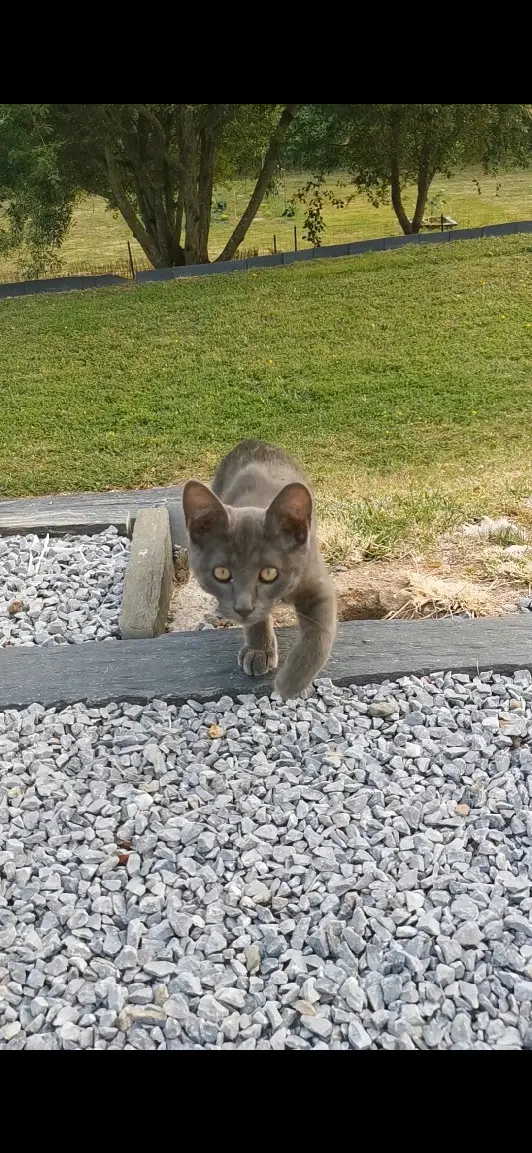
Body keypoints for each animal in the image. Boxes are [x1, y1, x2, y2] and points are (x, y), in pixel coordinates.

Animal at [180, 438, 334, 691]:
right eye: (221, 573)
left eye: (269, 572)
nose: (242, 608)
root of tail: (252, 440)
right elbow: (256, 620)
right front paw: (258, 651)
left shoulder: (315, 579)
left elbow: (320, 635)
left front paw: (292, 682)